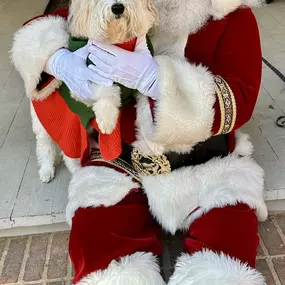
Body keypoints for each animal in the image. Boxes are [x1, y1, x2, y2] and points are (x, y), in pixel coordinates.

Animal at [28, 0, 156, 182]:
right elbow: (105, 89)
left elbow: (147, 104)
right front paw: (107, 120)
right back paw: (49, 169)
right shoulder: (87, 79)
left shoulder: (140, 85)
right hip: (47, 127)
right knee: (49, 147)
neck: (118, 44)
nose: (118, 7)